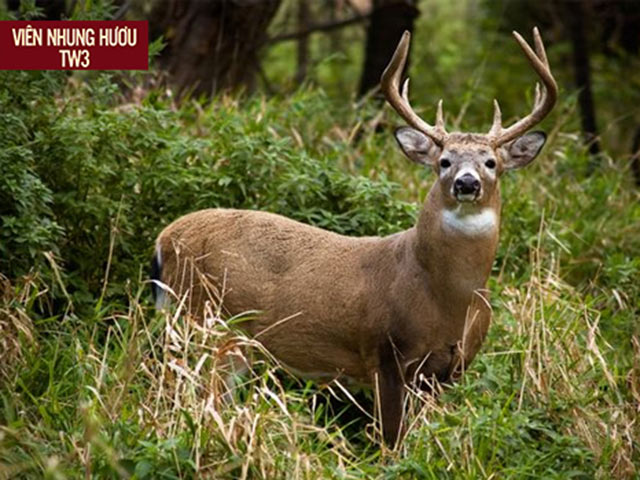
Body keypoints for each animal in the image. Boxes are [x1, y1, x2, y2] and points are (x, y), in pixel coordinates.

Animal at [150, 26, 556, 446]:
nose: (466, 183)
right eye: (444, 161)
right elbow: (392, 440)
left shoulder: (452, 367)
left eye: (491, 162)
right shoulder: (385, 351)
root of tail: (164, 240)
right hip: (204, 320)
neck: (447, 297)